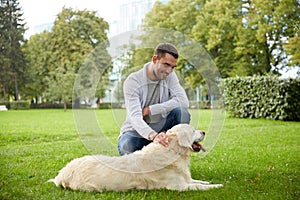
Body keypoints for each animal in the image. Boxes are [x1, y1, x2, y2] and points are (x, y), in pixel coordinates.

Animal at [48, 124, 223, 191]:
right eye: (193, 131)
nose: (204, 132)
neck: (172, 152)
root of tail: (61, 174)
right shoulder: (178, 187)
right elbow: (199, 186)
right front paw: (218, 186)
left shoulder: (184, 180)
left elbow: (197, 181)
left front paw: (209, 182)